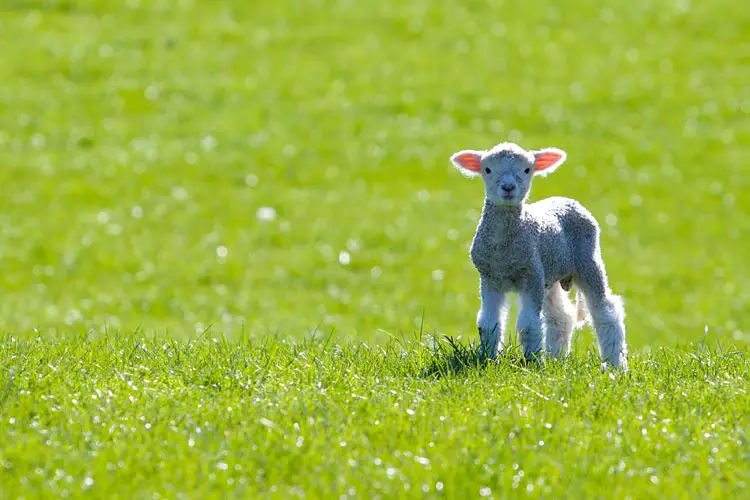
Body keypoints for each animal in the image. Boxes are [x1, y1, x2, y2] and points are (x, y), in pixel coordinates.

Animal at [450, 143, 632, 370]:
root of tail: (566, 199)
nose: (508, 188)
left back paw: (615, 364)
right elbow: (488, 324)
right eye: (488, 170)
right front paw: (488, 359)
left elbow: (528, 325)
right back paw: (556, 358)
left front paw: (531, 362)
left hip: (588, 261)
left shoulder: (531, 275)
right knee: (561, 317)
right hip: (550, 273)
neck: (504, 251)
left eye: (527, 169)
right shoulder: (490, 278)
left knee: (606, 312)